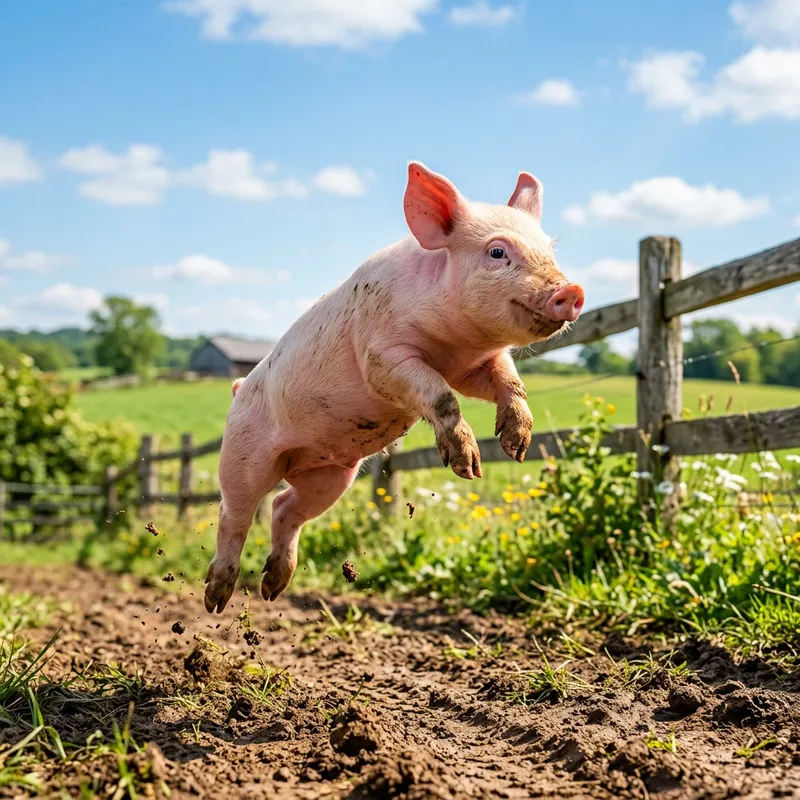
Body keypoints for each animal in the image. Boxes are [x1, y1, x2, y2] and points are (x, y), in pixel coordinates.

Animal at [203, 162, 584, 614]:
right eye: (497, 252)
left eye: (551, 249)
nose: (572, 290)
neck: (455, 344)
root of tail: (238, 388)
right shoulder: (382, 355)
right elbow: (439, 393)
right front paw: (468, 466)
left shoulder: (475, 366)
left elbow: (511, 383)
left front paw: (516, 446)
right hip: (243, 457)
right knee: (234, 515)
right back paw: (216, 598)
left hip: (330, 475)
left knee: (284, 508)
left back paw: (273, 588)